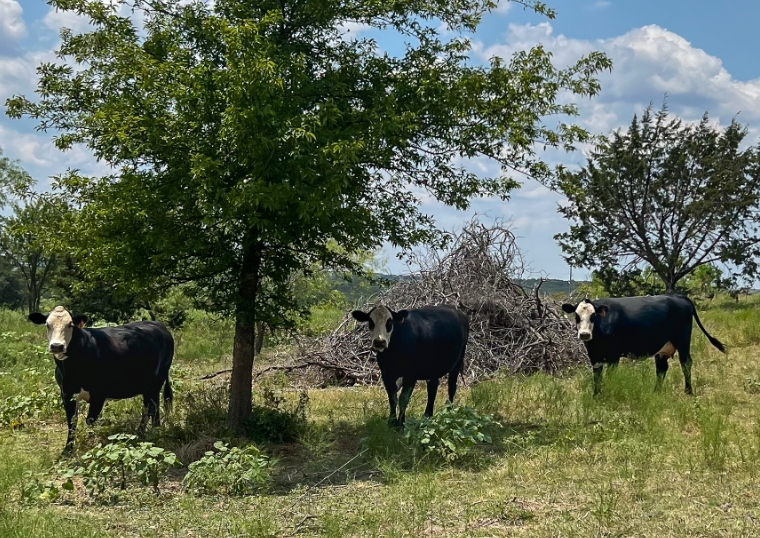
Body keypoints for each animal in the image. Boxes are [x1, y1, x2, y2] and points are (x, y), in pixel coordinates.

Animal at [28, 306, 175, 452]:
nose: (57, 346)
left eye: (70, 325)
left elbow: (90, 420)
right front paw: (67, 450)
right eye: (47, 325)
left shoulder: (99, 393)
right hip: (147, 386)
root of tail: (158, 324)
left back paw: (153, 432)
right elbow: (72, 421)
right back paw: (145, 432)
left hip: (157, 381)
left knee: (152, 407)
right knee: (149, 407)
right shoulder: (66, 393)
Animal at [560, 294, 728, 394]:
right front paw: (596, 395)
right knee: (661, 368)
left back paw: (688, 391)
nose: (584, 334)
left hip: (682, 341)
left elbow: (610, 375)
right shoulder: (594, 356)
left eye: (594, 315)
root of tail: (677, 297)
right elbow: (597, 376)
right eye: (576, 316)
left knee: (686, 363)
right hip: (663, 348)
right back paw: (656, 392)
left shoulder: (614, 356)